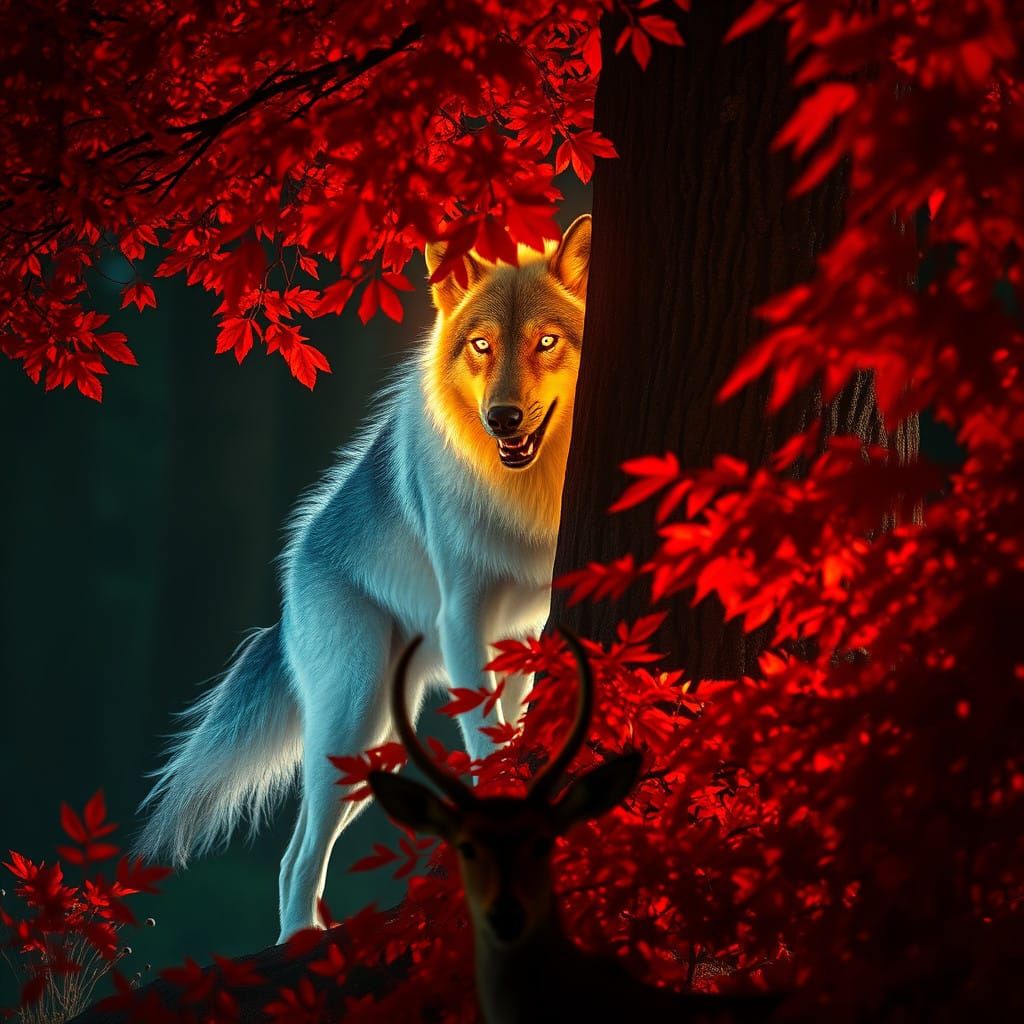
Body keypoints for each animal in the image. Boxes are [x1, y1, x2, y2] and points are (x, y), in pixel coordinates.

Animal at [136, 215, 591, 941]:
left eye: (546, 341)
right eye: (482, 346)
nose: (503, 419)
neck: (526, 490)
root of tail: (287, 593)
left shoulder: (523, 630)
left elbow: (511, 726)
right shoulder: (465, 615)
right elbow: (484, 737)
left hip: (384, 750)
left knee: (302, 848)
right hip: (353, 721)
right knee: (295, 855)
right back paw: (299, 942)